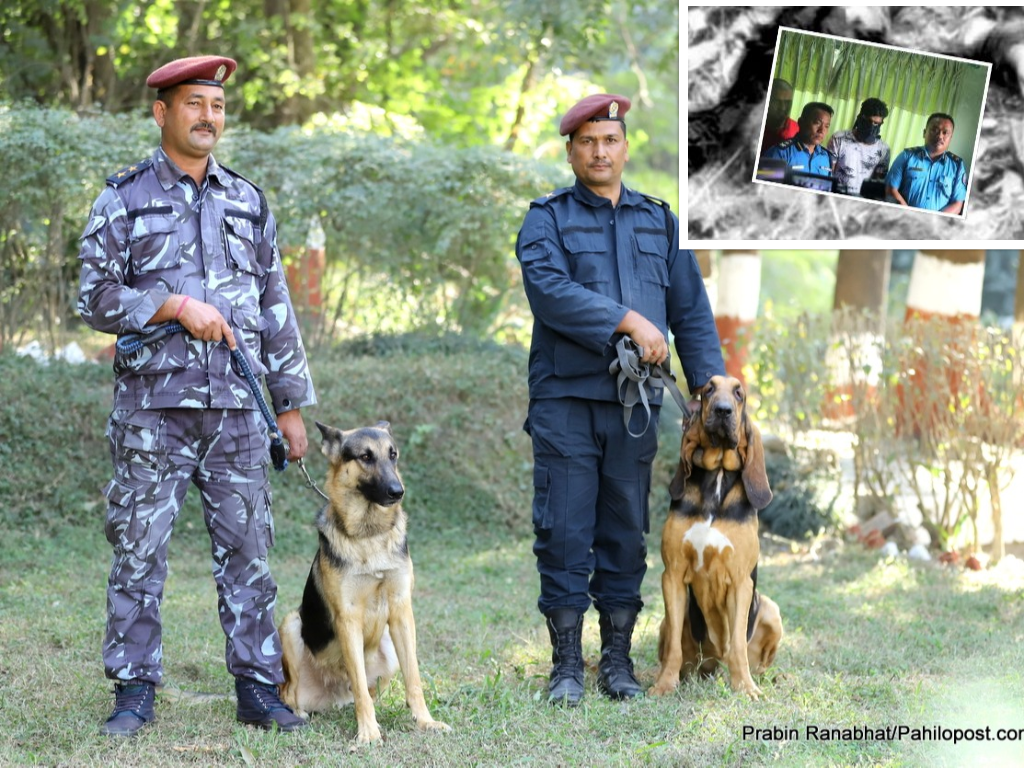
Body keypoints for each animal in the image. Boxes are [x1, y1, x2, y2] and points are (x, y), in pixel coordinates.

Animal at [276, 423, 448, 741]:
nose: (398, 491)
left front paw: (425, 721)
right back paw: (296, 712)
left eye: (393, 455)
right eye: (365, 457)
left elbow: (414, 680)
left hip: (389, 647)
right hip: (291, 624)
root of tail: (333, 696)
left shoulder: (401, 612)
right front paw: (368, 732)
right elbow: (359, 688)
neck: (370, 535)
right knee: (288, 691)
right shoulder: (348, 618)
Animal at [647, 376, 782, 700]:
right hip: (672, 623)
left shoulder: (741, 582)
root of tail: (714, 665)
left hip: (771, 610)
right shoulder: (672, 576)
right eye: (708, 389)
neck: (717, 477)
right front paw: (665, 685)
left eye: (739, 393)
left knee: (750, 657)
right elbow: (673, 649)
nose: (722, 410)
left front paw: (745, 687)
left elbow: (738, 645)